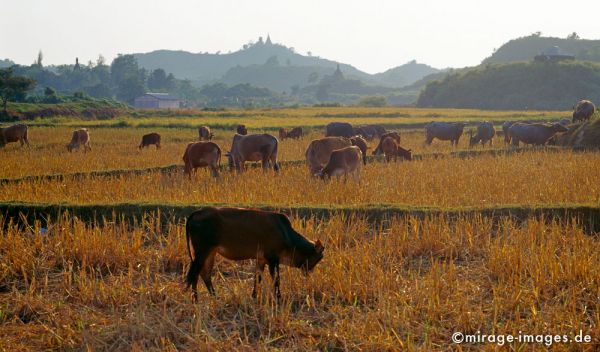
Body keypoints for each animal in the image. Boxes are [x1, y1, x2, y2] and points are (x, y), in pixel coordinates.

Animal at [186, 206, 326, 300]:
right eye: (317, 258)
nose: (308, 273)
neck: (286, 234)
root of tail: (196, 213)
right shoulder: (273, 259)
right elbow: (276, 280)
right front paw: (278, 297)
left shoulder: (261, 260)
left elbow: (257, 278)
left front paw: (254, 296)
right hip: (202, 252)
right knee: (195, 274)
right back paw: (195, 300)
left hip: (210, 253)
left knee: (205, 275)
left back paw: (215, 297)